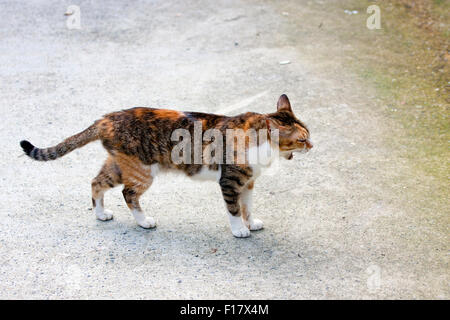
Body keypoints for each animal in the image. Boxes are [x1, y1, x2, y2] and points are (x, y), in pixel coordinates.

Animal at [20, 94, 312, 236]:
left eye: (308, 133)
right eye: (302, 139)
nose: (312, 145)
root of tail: (106, 118)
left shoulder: (248, 182)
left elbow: (247, 207)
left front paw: (250, 223)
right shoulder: (230, 182)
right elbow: (232, 209)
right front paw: (239, 230)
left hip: (120, 165)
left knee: (96, 183)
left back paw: (101, 214)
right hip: (142, 171)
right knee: (128, 194)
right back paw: (143, 221)